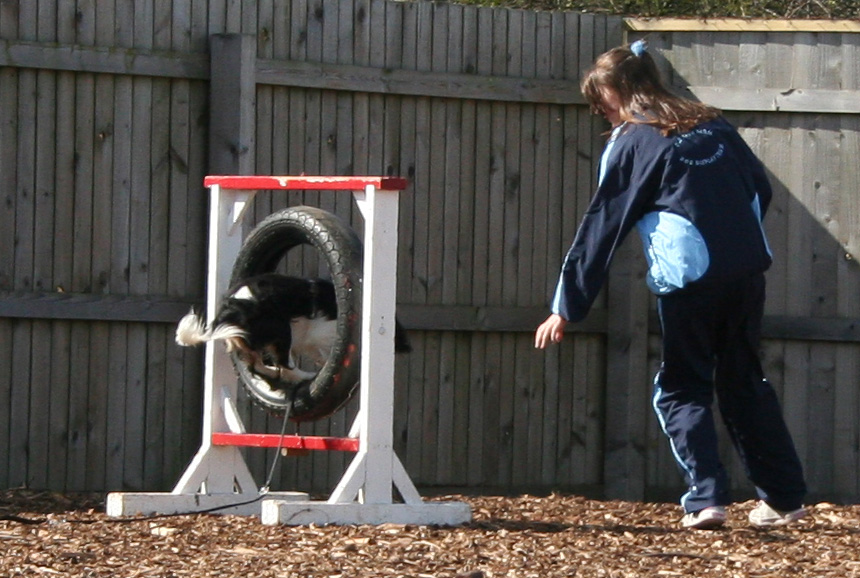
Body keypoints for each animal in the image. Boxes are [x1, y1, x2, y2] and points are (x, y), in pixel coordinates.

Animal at [175, 274, 410, 384]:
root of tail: (234, 307)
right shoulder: (321, 333)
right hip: (282, 330)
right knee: (284, 365)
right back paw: (306, 376)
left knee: (257, 366)